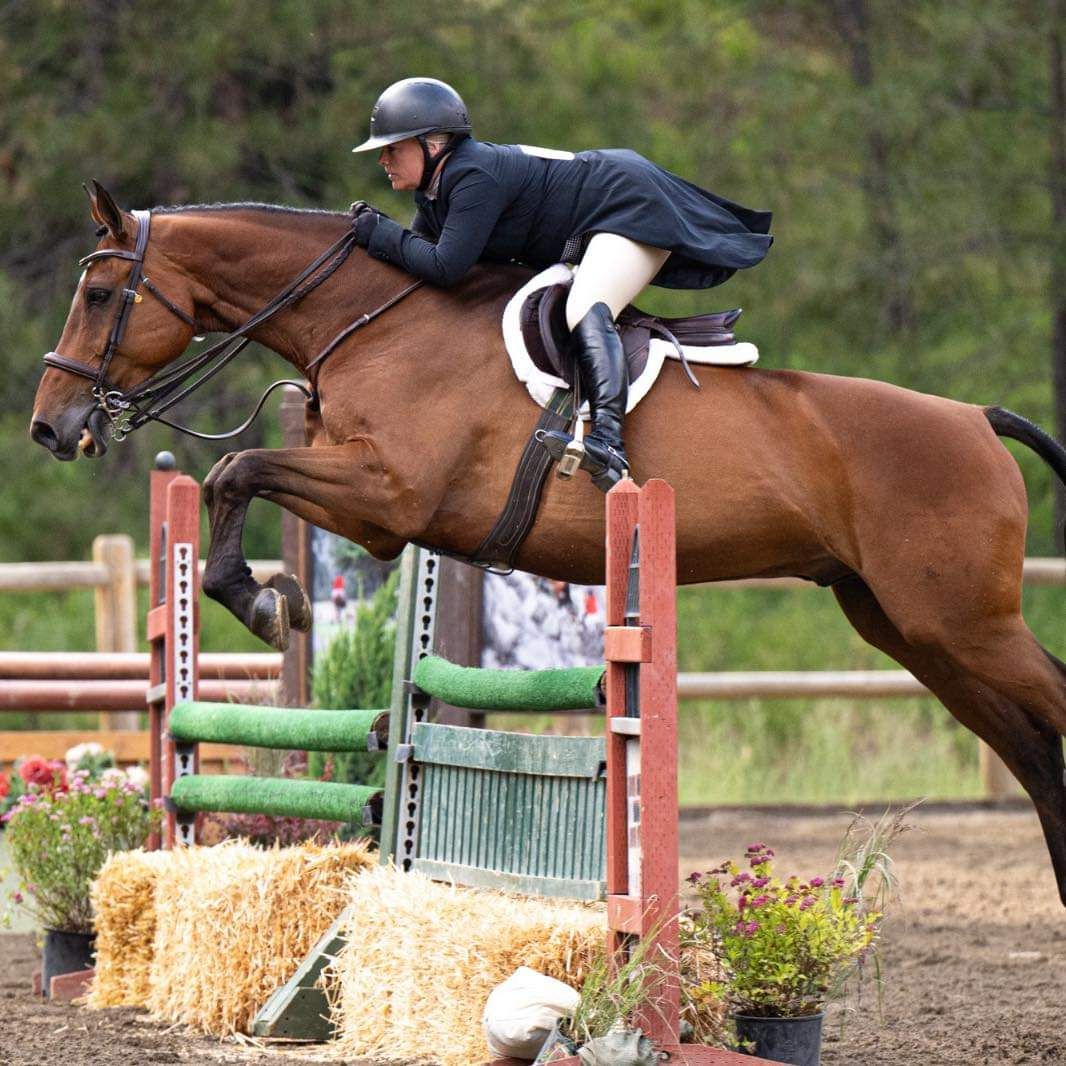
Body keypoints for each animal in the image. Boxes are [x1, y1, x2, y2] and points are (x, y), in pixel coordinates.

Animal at [29, 183, 1066, 899]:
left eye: (104, 292)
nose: (51, 427)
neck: (372, 323)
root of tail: (978, 418)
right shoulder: (375, 517)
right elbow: (230, 477)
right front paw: (271, 596)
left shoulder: (389, 496)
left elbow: (234, 471)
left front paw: (259, 600)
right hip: (908, 627)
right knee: (1033, 750)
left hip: (962, 622)